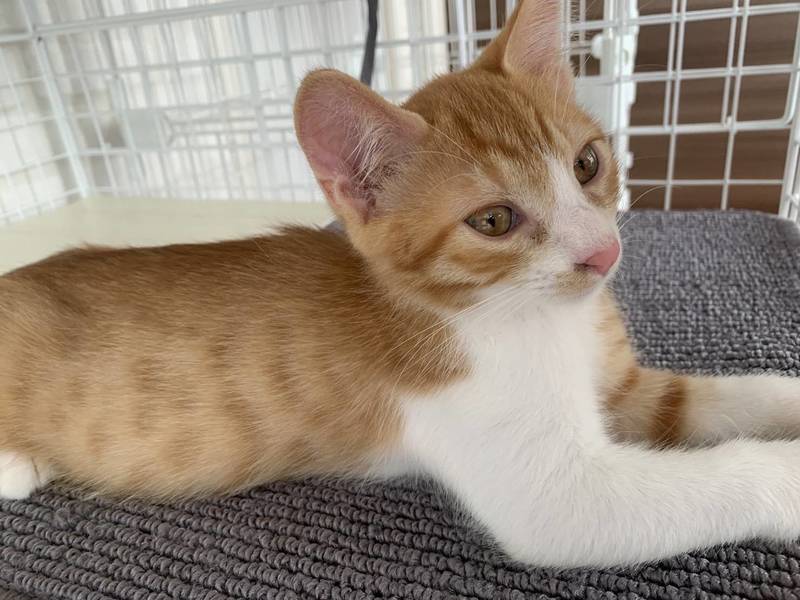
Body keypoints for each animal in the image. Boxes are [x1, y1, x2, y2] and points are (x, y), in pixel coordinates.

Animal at [2, 0, 800, 568]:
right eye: (494, 219)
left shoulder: (624, 387)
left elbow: (719, 399)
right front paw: (786, 479)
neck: (545, 320)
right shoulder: (553, 492)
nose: (602, 253)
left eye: (586, 164)